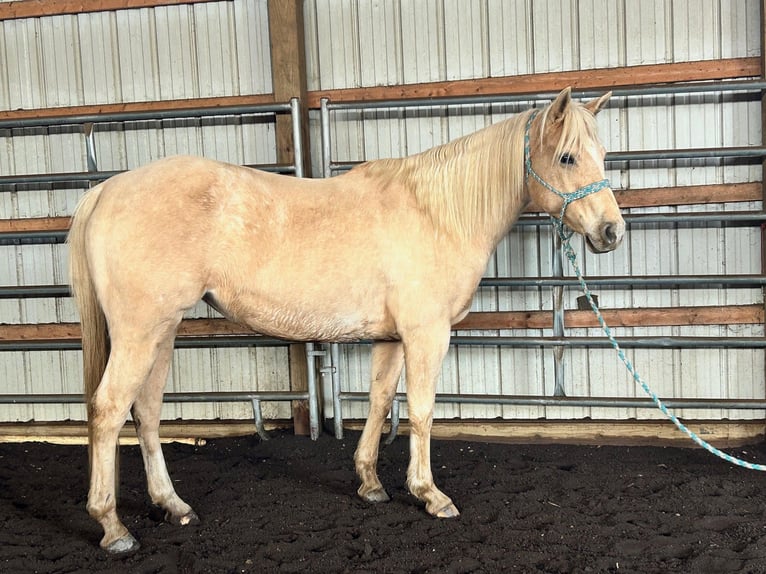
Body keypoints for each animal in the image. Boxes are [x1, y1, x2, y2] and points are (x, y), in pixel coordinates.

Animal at [69, 89, 628, 552]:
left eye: (603, 155)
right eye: (567, 157)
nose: (612, 232)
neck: (436, 214)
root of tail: (106, 191)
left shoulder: (392, 338)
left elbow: (380, 402)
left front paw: (371, 485)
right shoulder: (427, 335)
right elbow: (421, 410)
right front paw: (430, 495)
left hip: (162, 332)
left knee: (145, 412)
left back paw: (173, 506)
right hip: (140, 333)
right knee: (108, 410)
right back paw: (114, 528)